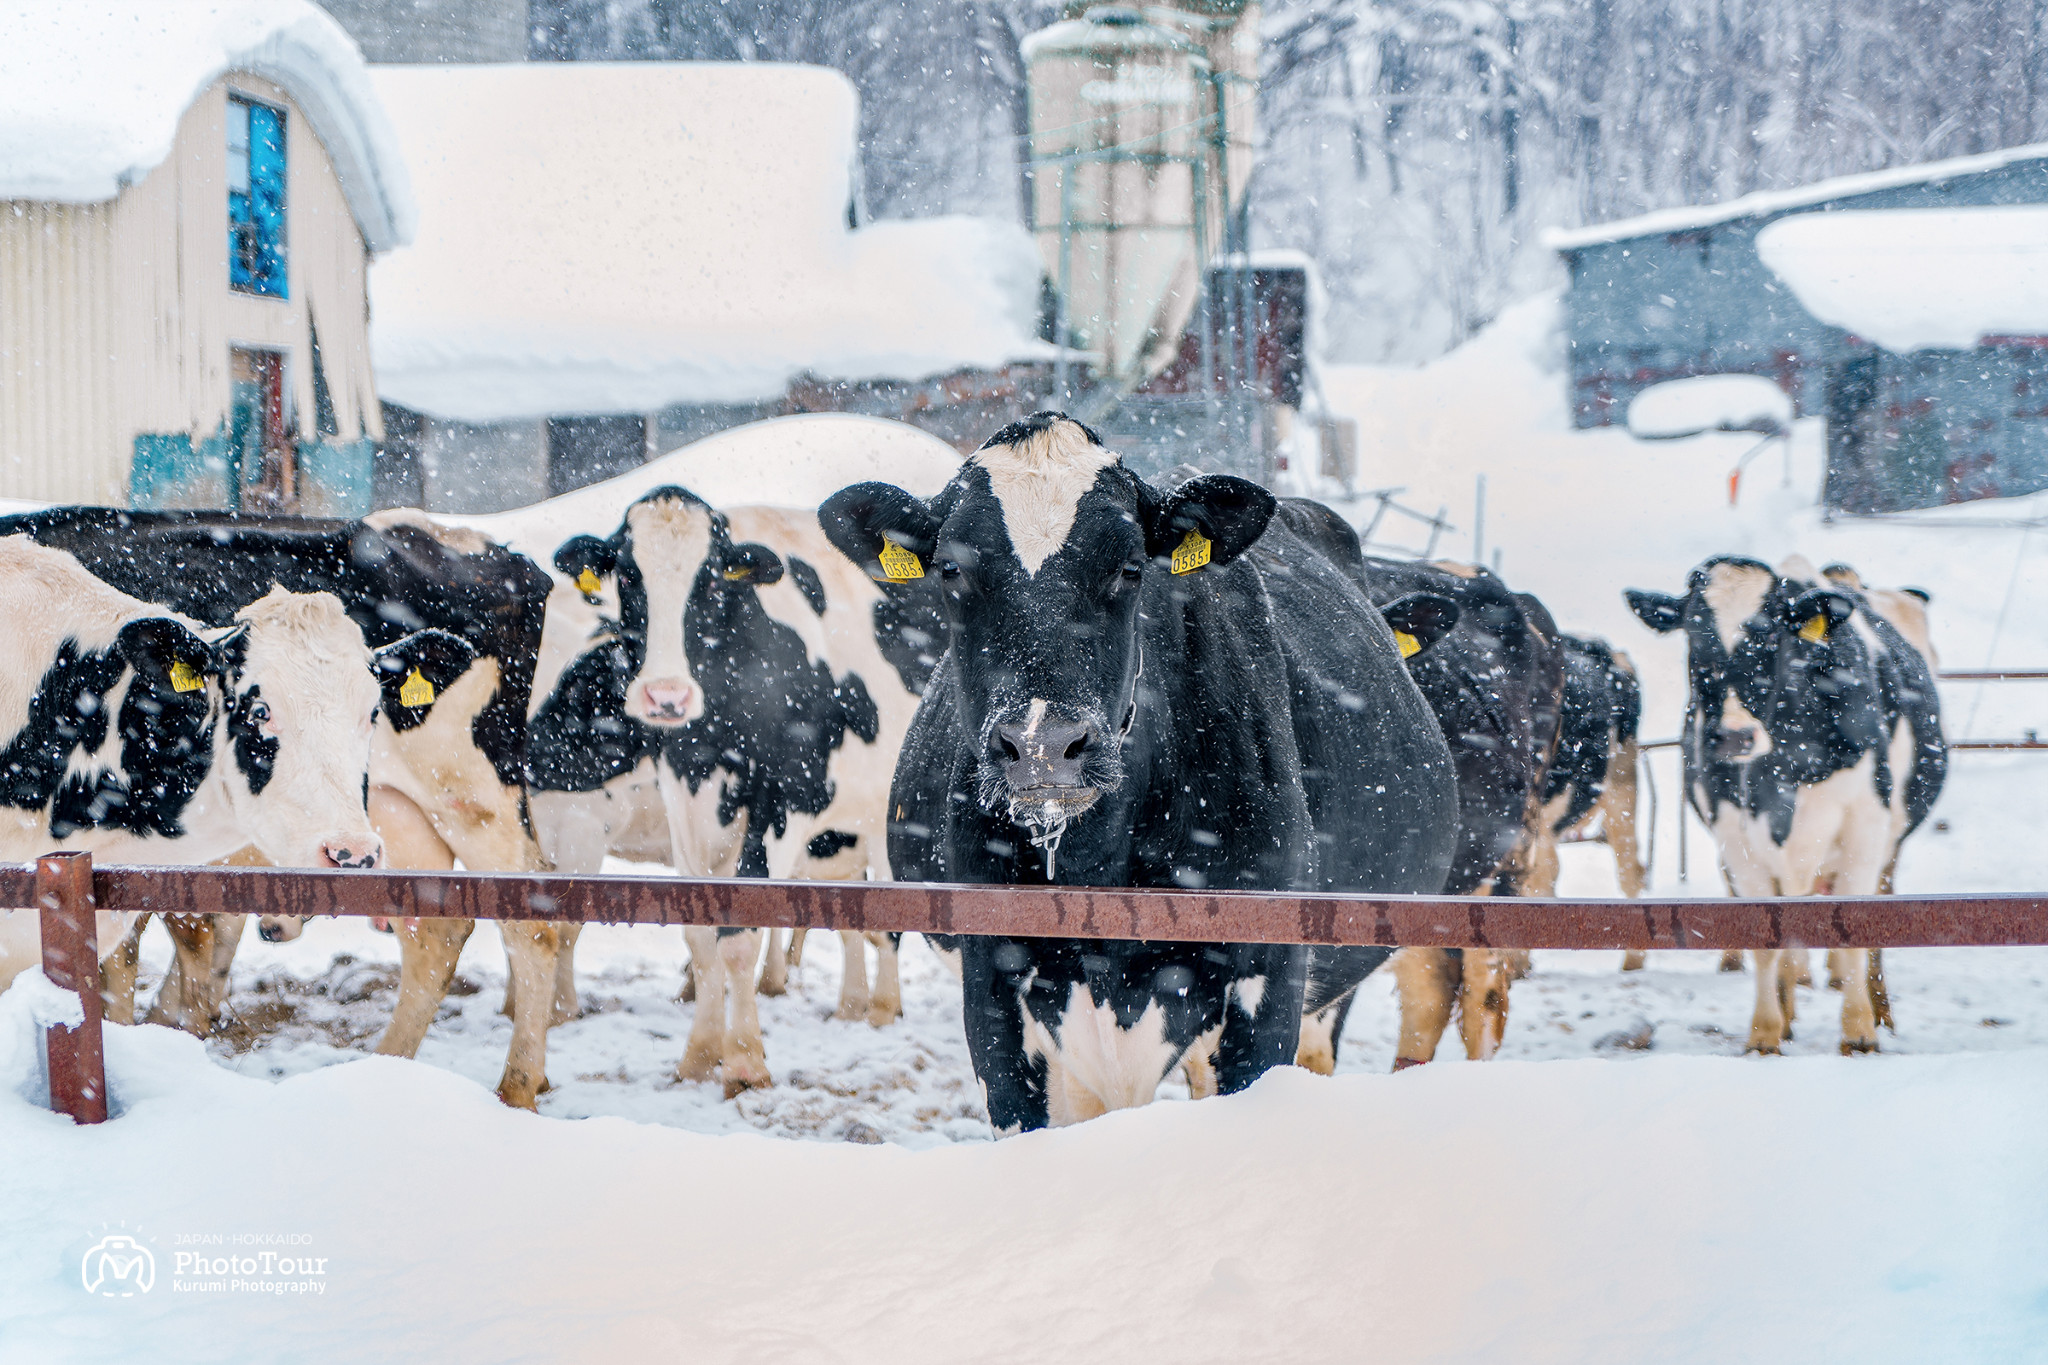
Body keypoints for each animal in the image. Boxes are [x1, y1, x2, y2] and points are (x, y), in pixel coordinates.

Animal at [1622, 548, 1941, 1055]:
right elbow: (1766, 940)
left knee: (1876, 917)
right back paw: (1790, 1013)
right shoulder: (1737, 841)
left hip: (1888, 848)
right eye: (1693, 634)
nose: (1734, 736)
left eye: (1770, 634)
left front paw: (1859, 1033)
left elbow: (1855, 930)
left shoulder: (1864, 830)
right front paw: (1765, 1033)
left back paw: (1880, 1012)